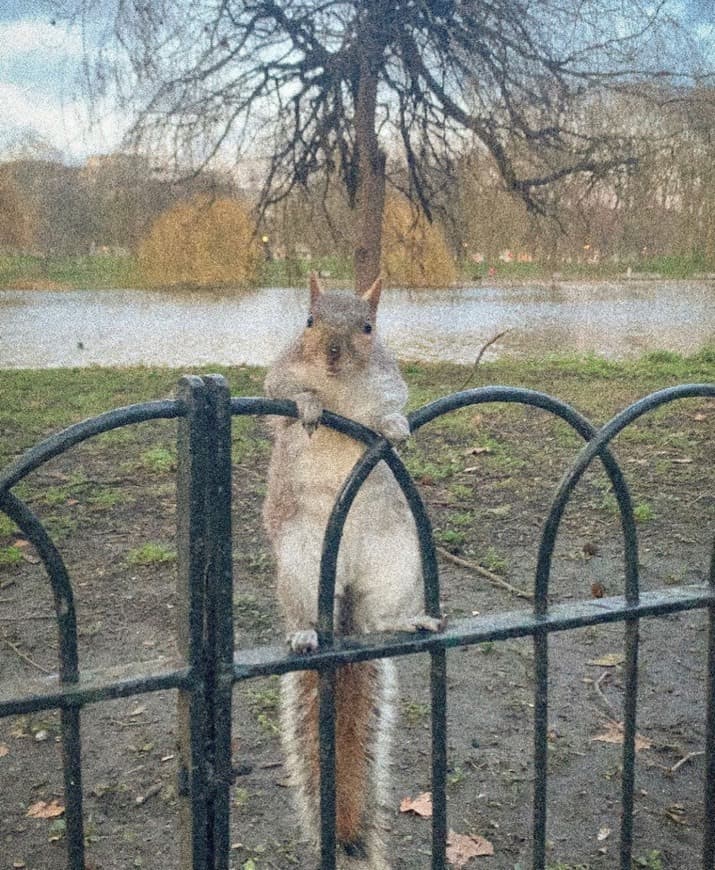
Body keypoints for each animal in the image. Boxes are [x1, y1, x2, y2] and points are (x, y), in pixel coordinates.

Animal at [262, 276, 442, 868]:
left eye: (368, 327)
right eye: (309, 321)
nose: (334, 355)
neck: (342, 389)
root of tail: (341, 594)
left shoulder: (388, 386)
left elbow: (390, 410)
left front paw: (396, 427)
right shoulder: (277, 379)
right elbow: (285, 407)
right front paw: (310, 403)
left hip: (397, 560)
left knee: (382, 617)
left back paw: (408, 621)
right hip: (300, 563)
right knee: (302, 611)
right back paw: (303, 633)